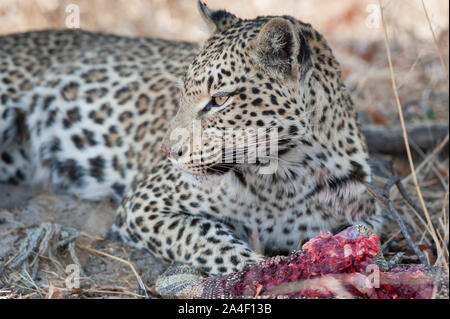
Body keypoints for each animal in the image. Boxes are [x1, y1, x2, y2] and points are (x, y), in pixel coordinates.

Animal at [0, 1, 384, 278]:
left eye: (220, 99)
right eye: (182, 93)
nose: (168, 151)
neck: (285, 177)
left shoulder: (367, 217)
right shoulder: (145, 205)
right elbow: (212, 242)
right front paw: (257, 273)